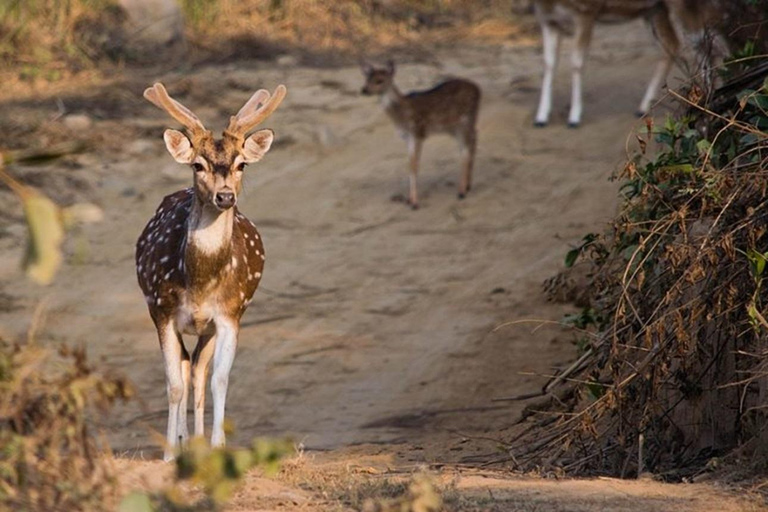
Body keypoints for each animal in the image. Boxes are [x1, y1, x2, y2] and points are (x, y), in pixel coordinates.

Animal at [136, 83, 286, 460]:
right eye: (197, 164)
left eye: (241, 163)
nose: (225, 196)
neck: (200, 283)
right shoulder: (162, 311)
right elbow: (173, 385)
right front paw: (169, 454)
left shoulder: (230, 314)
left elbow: (219, 379)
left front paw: (217, 446)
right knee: (184, 368)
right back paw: (182, 443)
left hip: (212, 326)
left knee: (198, 370)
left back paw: (198, 443)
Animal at [360, 61, 480, 209]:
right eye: (367, 78)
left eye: (379, 80)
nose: (364, 90)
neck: (402, 113)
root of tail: (478, 89)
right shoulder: (407, 138)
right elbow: (410, 165)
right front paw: (409, 200)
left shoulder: (417, 133)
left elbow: (414, 166)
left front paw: (415, 203)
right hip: (456, 127)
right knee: (472, 140)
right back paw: (467, 185)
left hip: (464, 121)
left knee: (466, 149)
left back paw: (461, 192)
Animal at [536, 0, 728, 127]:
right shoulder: (548, 19)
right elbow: (549, 63)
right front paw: (541, 116)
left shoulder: (586, 11)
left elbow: (577, 62)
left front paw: (574, 116)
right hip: (655, 9)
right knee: (675, 44)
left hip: (685, 5)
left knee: (707, 43)